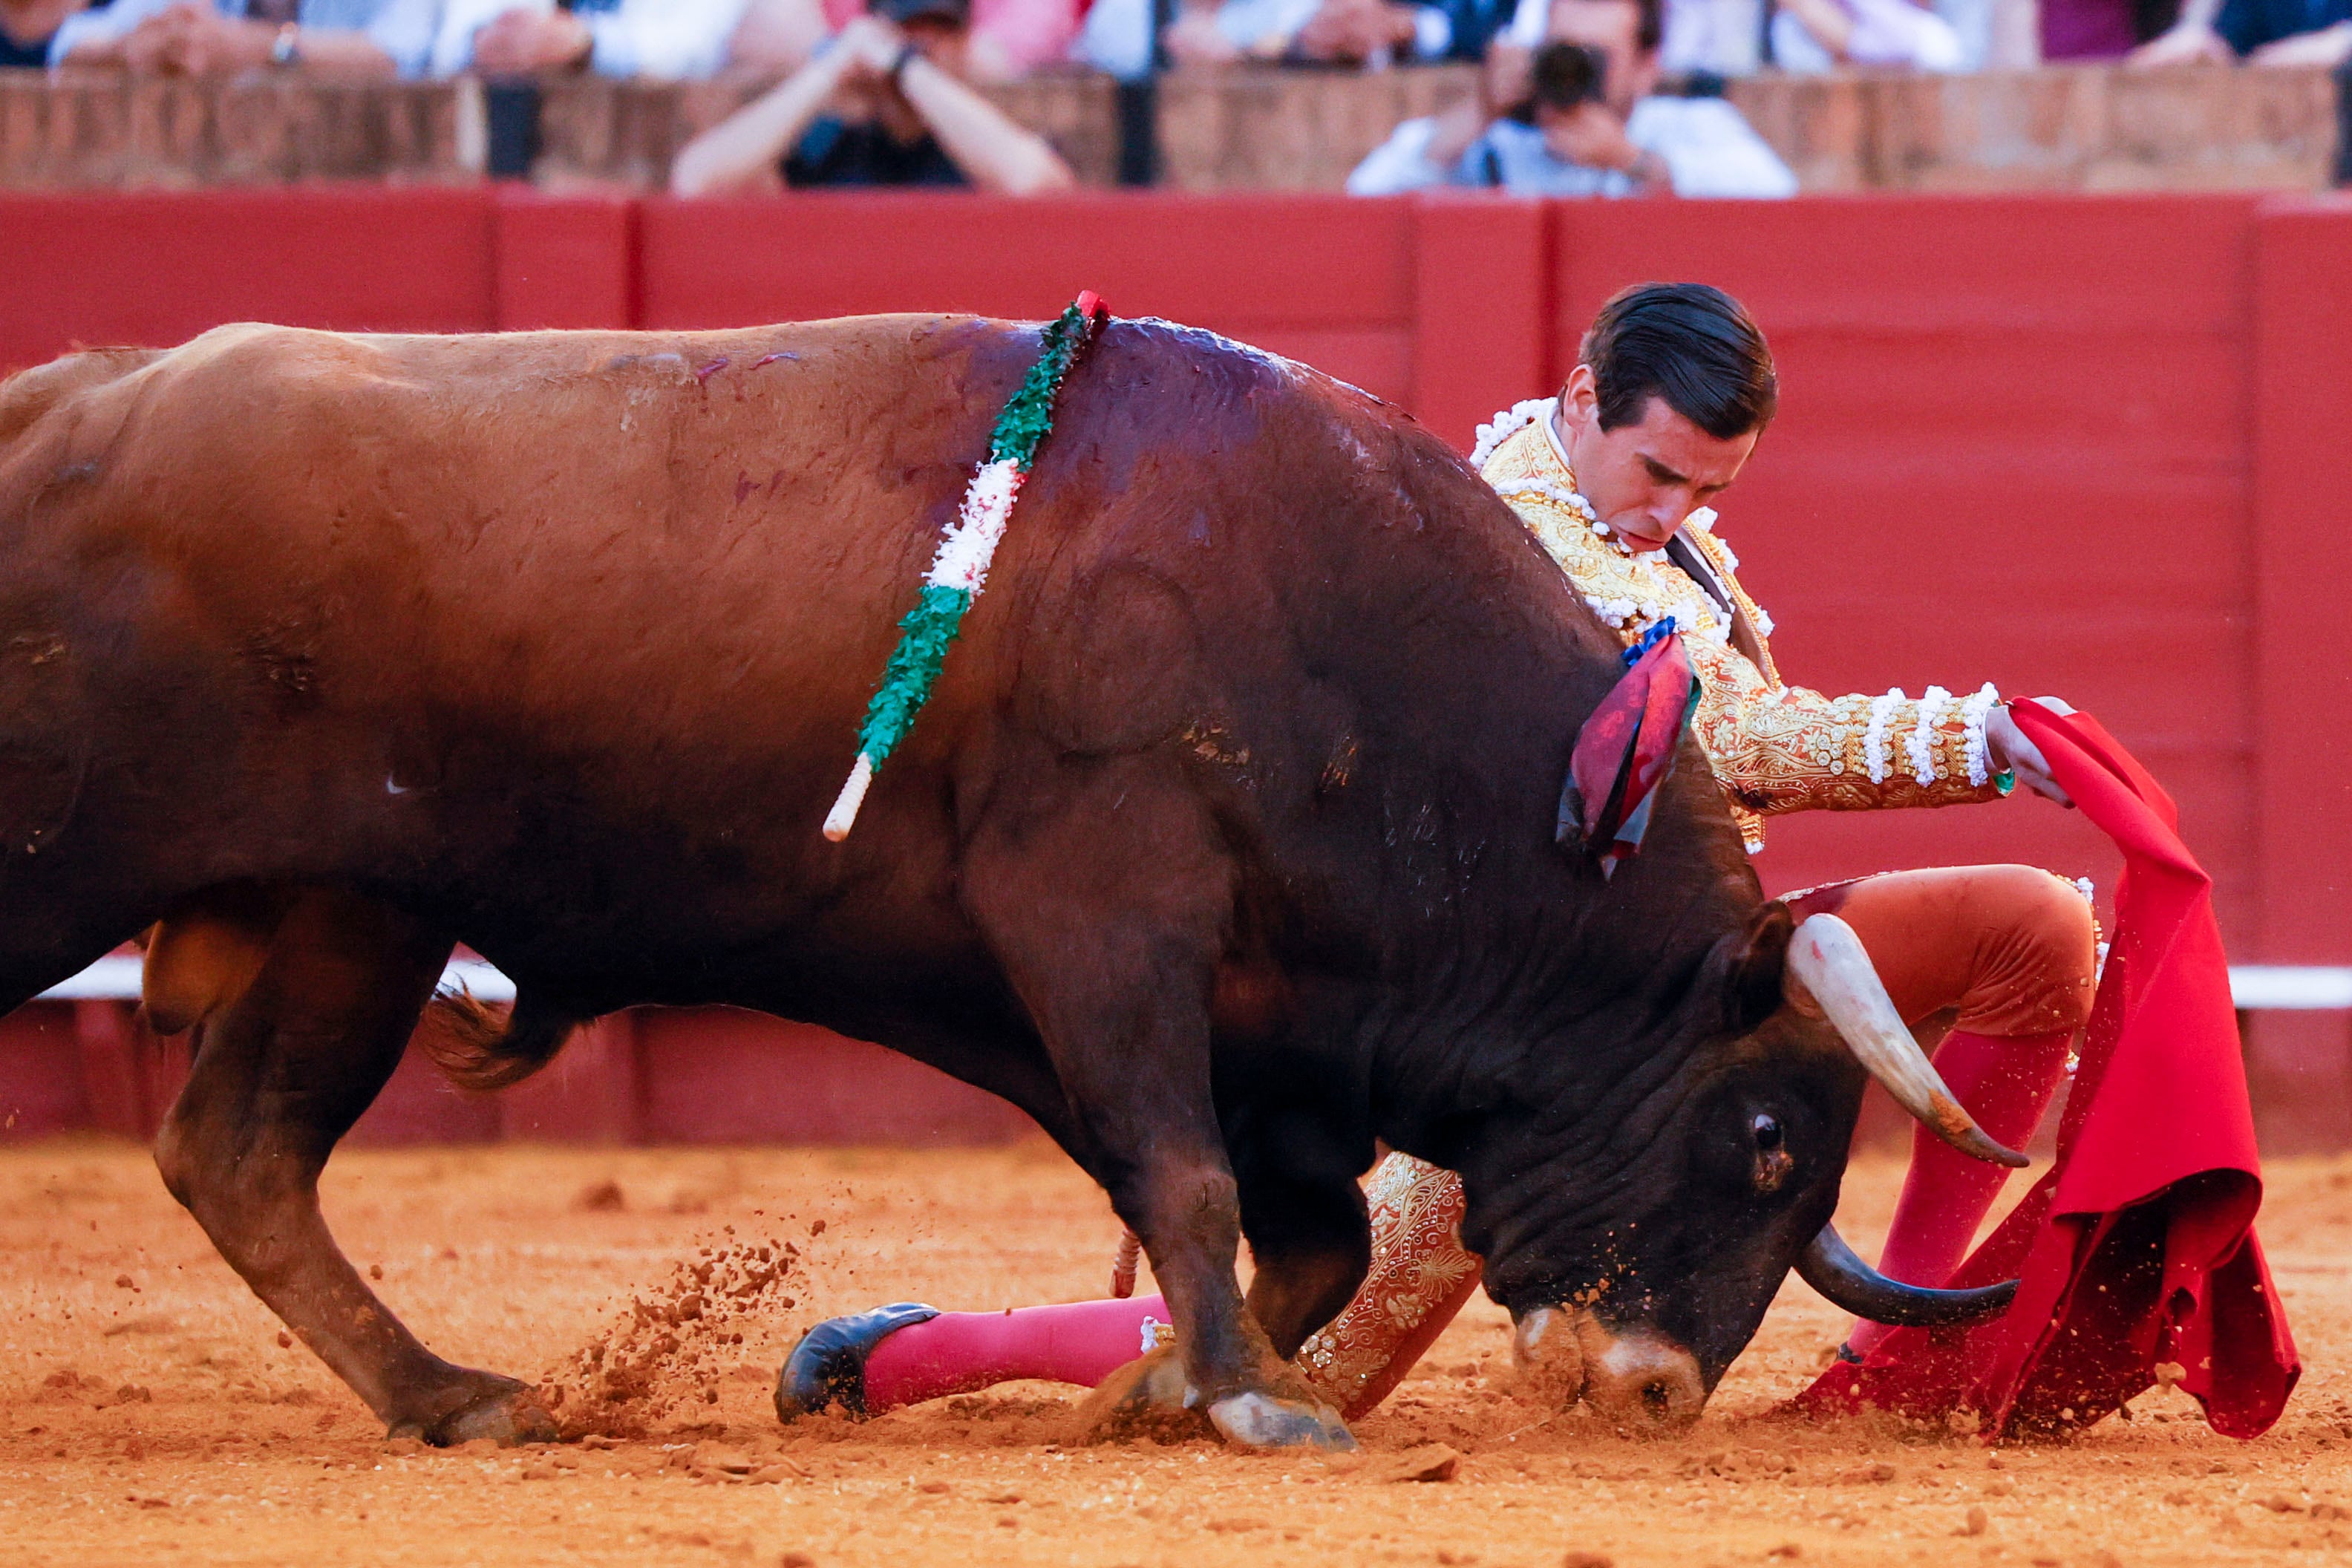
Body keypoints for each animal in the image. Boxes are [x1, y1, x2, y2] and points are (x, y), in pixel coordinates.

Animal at [0, 313, 2022, 1457]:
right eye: (1760, 1139)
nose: (1657, 1389)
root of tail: (58, 410)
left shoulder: (1259, 1028)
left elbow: (1299, 1229)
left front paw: (1159, 1392)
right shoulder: (1106, 927)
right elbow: (1194, 1181)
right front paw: (1247, 1400)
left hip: (361, 907)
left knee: (238, 1151)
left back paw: (456, 1399)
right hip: (93, 864)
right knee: (232, 1142)